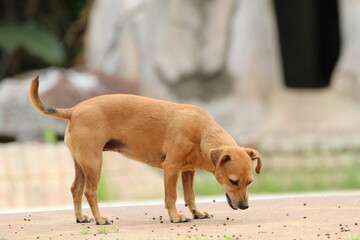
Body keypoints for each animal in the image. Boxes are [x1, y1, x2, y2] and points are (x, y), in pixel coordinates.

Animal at [28, 76, 262, 225]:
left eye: (250, 182)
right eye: (233, 181)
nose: (245, 207)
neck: (201, 132)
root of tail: (74, 109)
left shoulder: (188, 171)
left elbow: (190, 196)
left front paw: (196, 213)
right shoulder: (171, 168)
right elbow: (172, 196)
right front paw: (176, 217)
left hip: (81, 164)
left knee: (75, 189)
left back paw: (80, 217)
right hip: (94, 163)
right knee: (89, 192)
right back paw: (100, 219)